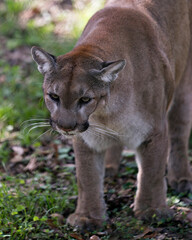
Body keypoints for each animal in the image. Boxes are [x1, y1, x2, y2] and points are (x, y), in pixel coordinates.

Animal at [31, 0, 192, 229]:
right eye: (54, 96)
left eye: (85, 99)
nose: (66, 126)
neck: (107, 111)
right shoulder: (86, 138)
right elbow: (87, 177)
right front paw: (88, 217)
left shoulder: (155, 132)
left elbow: (152, 173)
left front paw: (152, 211)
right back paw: (109, 167)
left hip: (183, 84)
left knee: (180, 132)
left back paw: (181, 178)